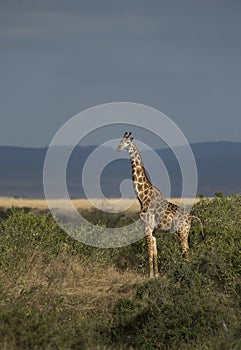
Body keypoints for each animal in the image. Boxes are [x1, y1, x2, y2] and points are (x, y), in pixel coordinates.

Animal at [116, 133, 203, 278]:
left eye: (127, 142)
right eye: (120, 141)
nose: (118, 148)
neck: (142, 196)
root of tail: (191, 216)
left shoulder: (146, 227)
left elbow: (149, 252)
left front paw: (150, 275)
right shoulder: (154, 230)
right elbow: (155, 251)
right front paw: (156, 274)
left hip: (181, 232)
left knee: (186, 252)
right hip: (184, 232)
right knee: (186, 251)